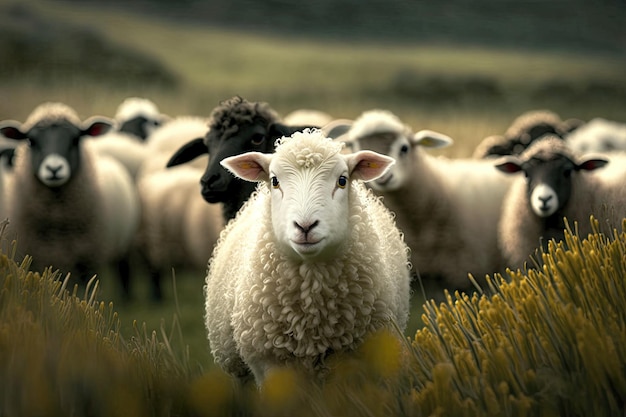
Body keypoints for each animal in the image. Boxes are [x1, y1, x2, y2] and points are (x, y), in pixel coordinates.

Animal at [0, 102, 139, 298]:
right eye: (31, 141)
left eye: (75, 139)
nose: (54, 169)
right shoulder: (34, 259)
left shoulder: (86, 262)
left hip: (124, 244)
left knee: (123, 270)